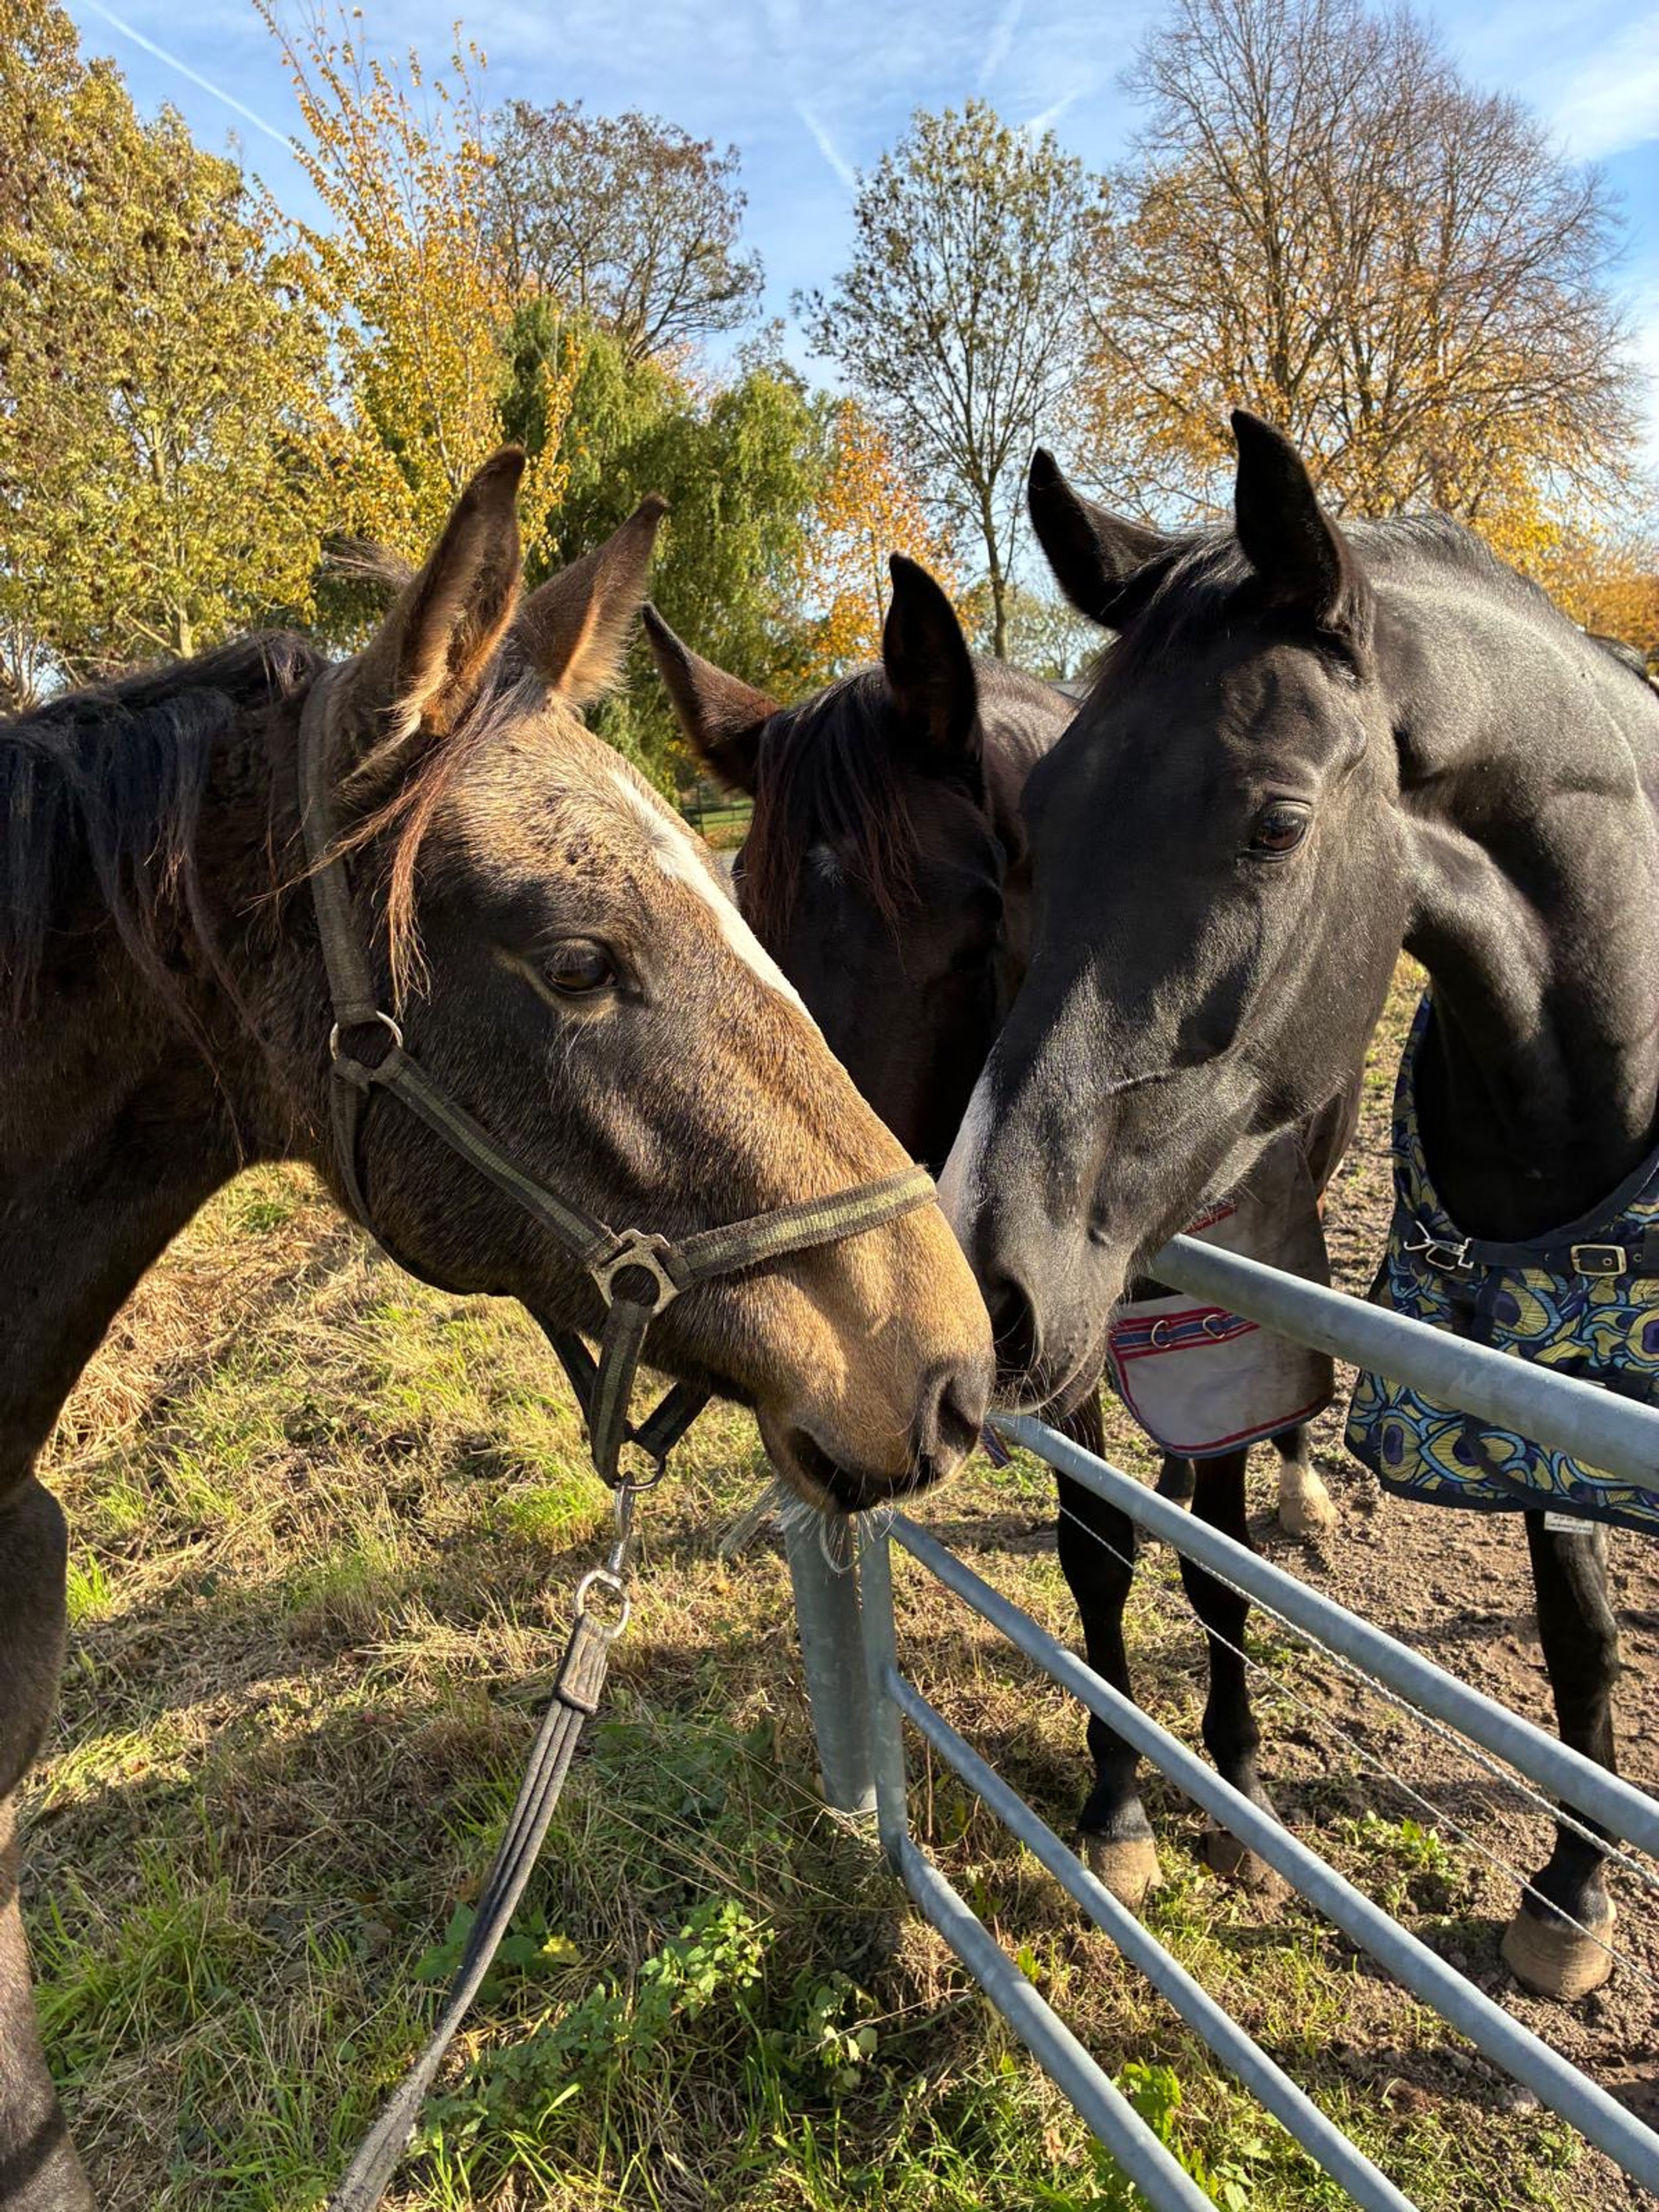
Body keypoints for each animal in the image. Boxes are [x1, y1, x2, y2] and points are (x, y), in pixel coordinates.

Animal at [643, 555, 1338, 1908]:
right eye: (748, 921)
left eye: (973, 924)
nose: (844, 1355)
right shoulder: (1045, 1324)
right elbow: (1097, 1548)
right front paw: (1118, 1802)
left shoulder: (1204, 1327)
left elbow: (1214, 1555)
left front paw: (1235, 1779)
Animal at [943, 408, 1659, 2002]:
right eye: (1039, 824)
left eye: (1275, 824)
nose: (985, 1283)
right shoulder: (1543, 1381)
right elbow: (1578, 1628)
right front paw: (1578, 1895)